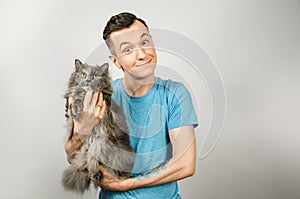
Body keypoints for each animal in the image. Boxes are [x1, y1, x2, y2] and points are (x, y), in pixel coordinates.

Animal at [61, 58, 134, 193]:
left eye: (95, 76)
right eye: (83, 74)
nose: (89, 80)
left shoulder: (106, 100)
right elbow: (72, 98)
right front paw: (75, 109)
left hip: (100, 142)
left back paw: (97, 175)